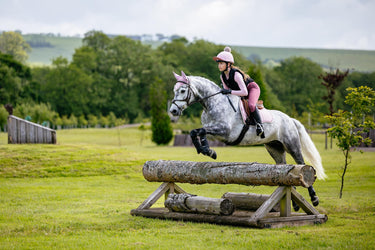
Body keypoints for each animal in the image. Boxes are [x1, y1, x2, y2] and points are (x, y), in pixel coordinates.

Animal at [170, 71, 326, 207]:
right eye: (174, 91)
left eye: (182, 91)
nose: (173, 111)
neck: (213, 103)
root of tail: (289, 119)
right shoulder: (213, 131)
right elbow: (195, 132)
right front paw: (207, 150)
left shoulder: (225, 131)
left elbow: (200, 131)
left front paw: (208, 151)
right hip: (274, 148)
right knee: (284, 170)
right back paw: (294, 204)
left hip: (292, 145)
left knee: (301, 163)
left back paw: (314, 198)